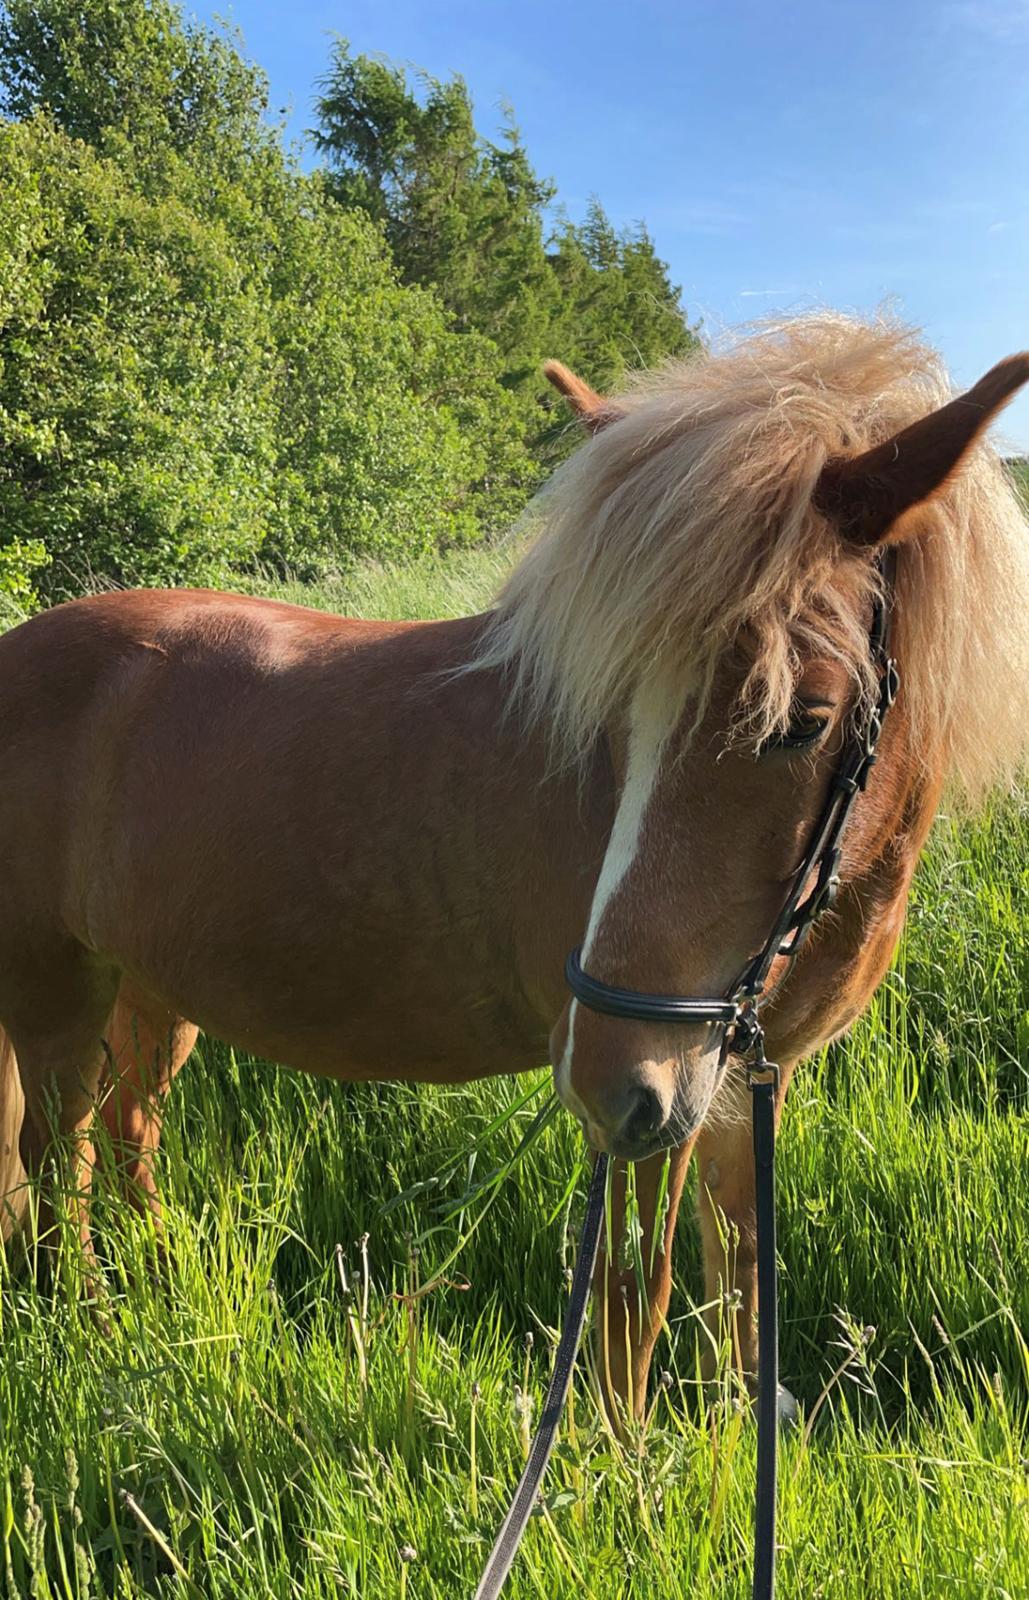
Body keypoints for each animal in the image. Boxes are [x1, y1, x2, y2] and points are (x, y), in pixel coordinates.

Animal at [2, 315, 1029, 1427]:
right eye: (611, 716)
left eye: (804, 720)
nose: (611, 1075)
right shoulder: (654, 1113)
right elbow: (633, 1301)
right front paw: (629, 1465)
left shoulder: (735, 1084)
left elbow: (739, 1279)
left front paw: (729, 1438)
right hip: (54, 992)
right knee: (58, 1163)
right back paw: (98, 1331)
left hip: (150, 991)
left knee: (127, 1133)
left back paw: (164, 1284)